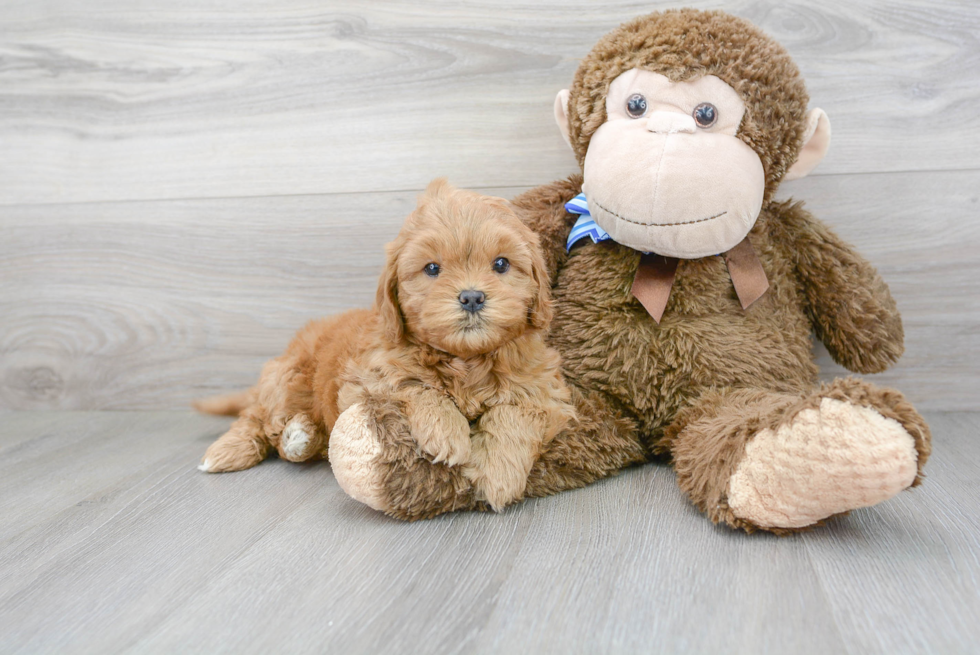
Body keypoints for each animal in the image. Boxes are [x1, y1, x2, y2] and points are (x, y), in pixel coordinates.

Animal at [198, 181, 576, 516]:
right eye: (432, 268)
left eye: (501, 264)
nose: (472, 297)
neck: (465, 359)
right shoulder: (367, 379)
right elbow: (414, 385)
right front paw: (447, 433)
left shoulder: (545, 389)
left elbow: (516, 414)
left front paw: (498, 475)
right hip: (287, 378)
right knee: (257, 418)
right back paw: (232, 450)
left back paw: (301, 436)